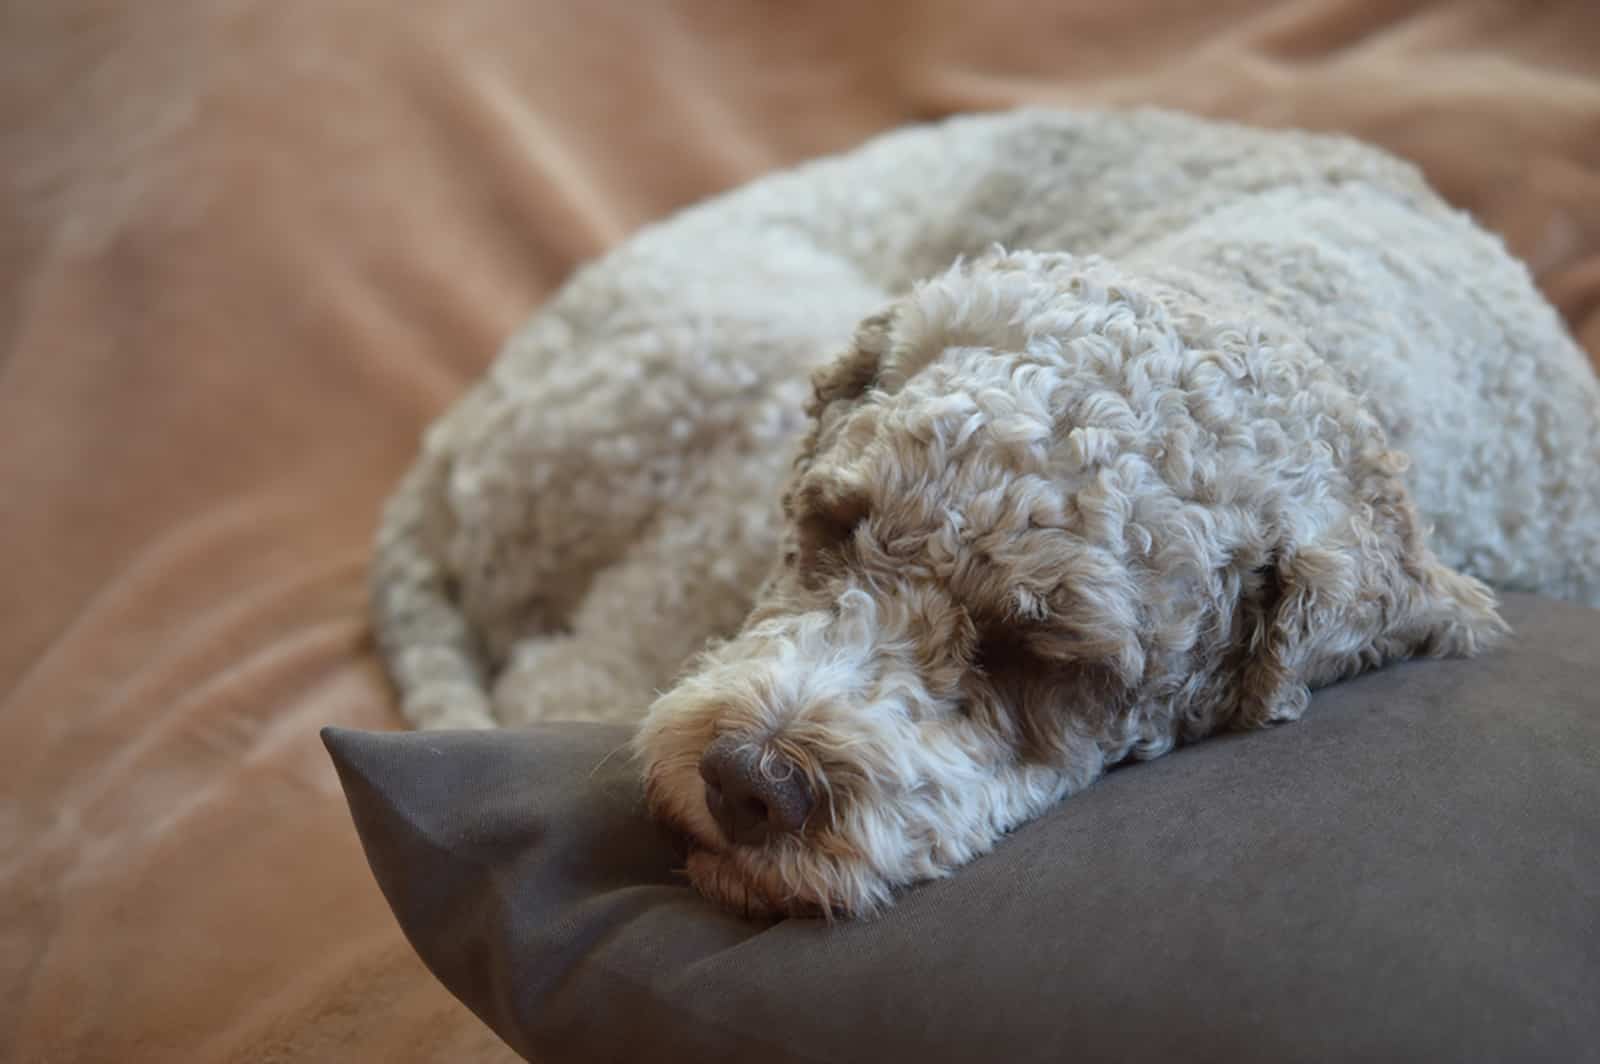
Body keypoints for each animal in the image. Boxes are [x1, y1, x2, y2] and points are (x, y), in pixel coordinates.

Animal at [366, 109, 1600, 921]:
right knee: (554, 676)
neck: (1299, 298)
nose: (747, 782)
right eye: (831, 526)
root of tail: (457, 427)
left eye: (1037, 653)